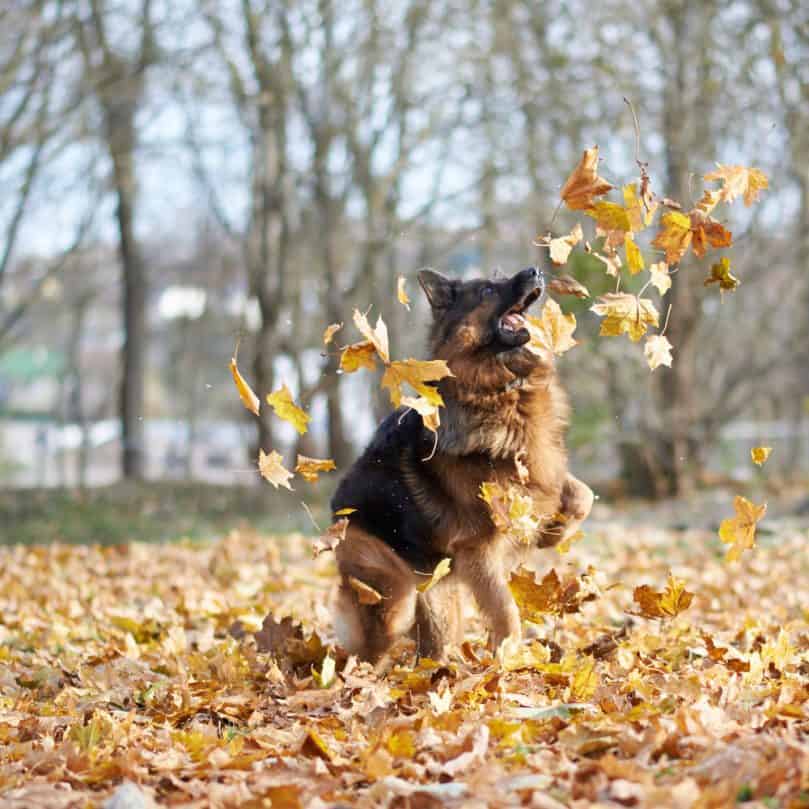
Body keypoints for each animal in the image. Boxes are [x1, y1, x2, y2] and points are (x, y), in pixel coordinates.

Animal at [330, 268, 592, 660]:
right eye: (486, 291)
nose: (535, 270)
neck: (500, 389)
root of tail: (335, 514)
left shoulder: (541, 468)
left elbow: (581, 494)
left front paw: (553, 533)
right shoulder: (478, 549)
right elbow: (504, 609)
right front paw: (508, 656)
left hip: (437, 593)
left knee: (435, 642)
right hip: (394, 598)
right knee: (371, 646)